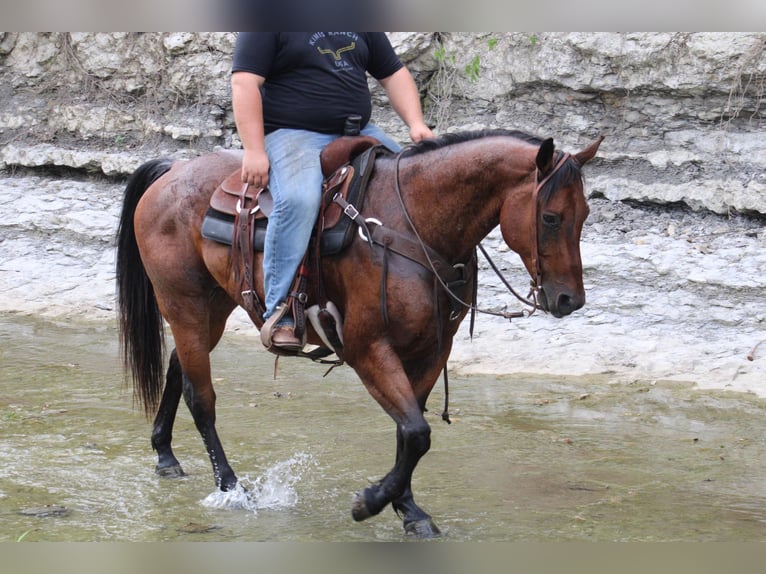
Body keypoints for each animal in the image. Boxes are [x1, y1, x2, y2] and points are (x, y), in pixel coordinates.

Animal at [114, 129, 608, 540]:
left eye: (584, 214)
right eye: (550, 217)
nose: (570, 299)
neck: (416, 227)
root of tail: (172, 169)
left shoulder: (431, 351)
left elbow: (410, 432)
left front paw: (408, 509)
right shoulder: (367, 348)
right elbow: (417, 432)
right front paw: (370, 503)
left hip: (213, 306)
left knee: (178, 366)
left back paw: (166, 455)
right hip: (185, 303)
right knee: (201, 397)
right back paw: (232, 487)